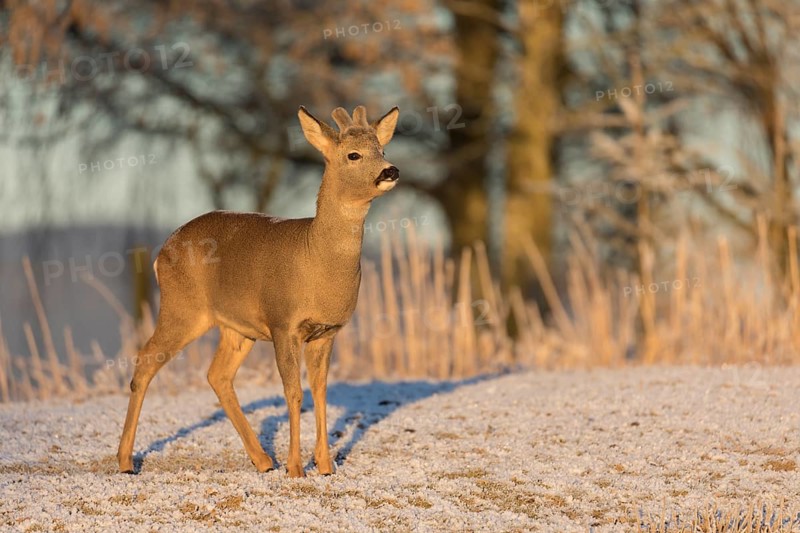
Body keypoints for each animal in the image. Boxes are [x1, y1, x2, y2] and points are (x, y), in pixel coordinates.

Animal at [117, 105, 400, 478]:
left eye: (382, 148)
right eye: (353, 154)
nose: (391, 170)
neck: (315, 257)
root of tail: (161, 252)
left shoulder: (327, 331)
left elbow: (320, 392)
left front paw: (325, 466)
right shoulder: (283, 323)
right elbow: (293, 393)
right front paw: (295, 469)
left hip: (237, 328)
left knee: (217, 375)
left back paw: (263, 460)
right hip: (182, 307)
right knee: (147, 360)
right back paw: (125, 461)